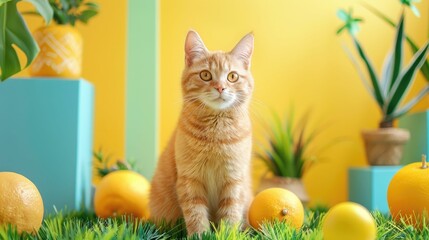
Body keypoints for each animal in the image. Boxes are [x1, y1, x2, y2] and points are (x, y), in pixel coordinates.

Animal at [149, 30, 252, 236]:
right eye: (205, 75)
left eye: (232, 76)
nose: (220, 87)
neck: (216, 132)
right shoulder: (190, 179)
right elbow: (195, 212)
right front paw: (200, 235)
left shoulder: (234, 179)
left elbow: (231, 211)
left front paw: (226, 235)